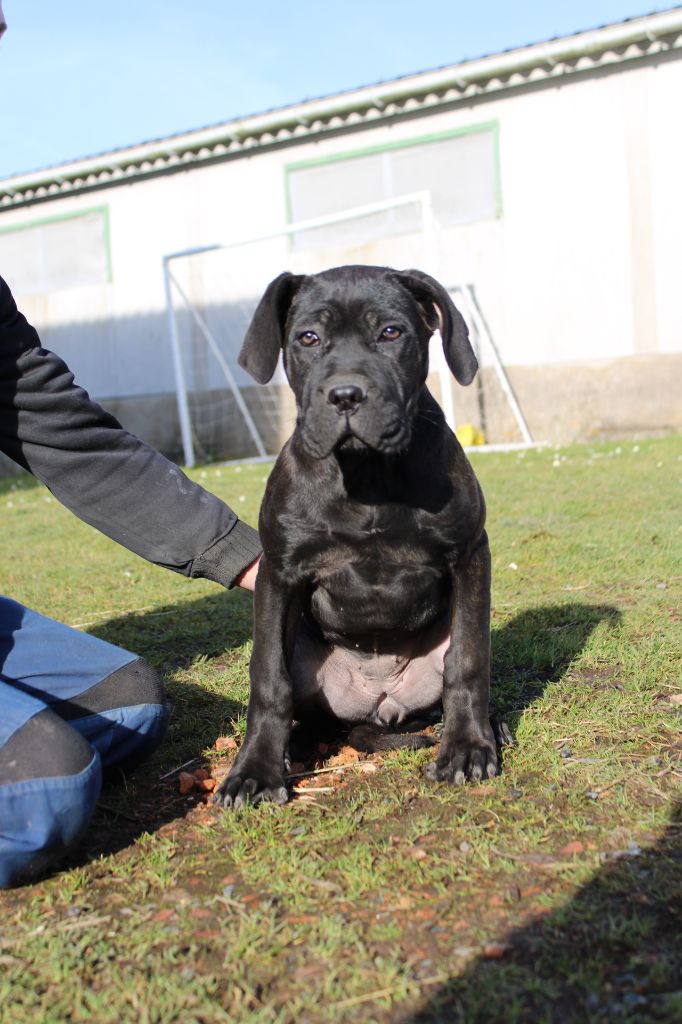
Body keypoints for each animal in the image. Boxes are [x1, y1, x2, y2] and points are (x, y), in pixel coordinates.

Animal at [215, 268, 497, 811]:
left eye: (390, 332)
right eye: (308, 338)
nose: (346, 395)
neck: (367, 473)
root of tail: (378, 705)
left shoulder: (470, 553)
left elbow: (469, 659)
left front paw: (468, 747)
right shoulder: (279, 571)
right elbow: (268, 678)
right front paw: (255, 771)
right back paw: (292, 748)